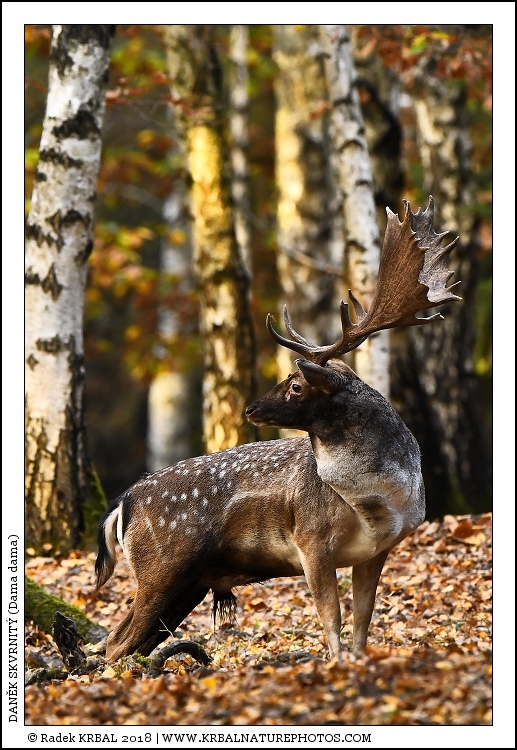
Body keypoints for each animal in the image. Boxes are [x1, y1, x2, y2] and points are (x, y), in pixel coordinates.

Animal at [95, 197, 460, 662]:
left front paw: (357, 660)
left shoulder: (377, 550)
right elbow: (331, 617)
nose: (251, 408)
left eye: (296, 385)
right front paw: (334, 664)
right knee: (114, 641)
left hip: (189, 582)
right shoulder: (309, 537)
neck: (380, 501)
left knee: (131, 641)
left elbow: (363, 620)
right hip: (163, 568)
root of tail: (122, 504)